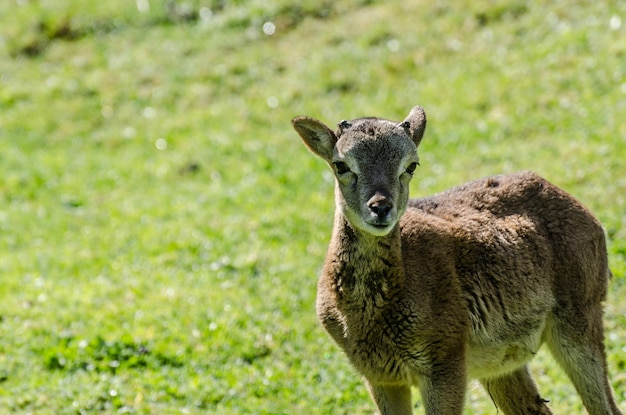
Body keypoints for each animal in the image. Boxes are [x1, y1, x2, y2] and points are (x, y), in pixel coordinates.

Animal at [290, 106, 620, 415]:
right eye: (341, 165)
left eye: (411, 165)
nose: (381, 207)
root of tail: (590, 218)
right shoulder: (379, 376)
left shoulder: (444, 360)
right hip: (503, 364)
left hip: (579, 317)